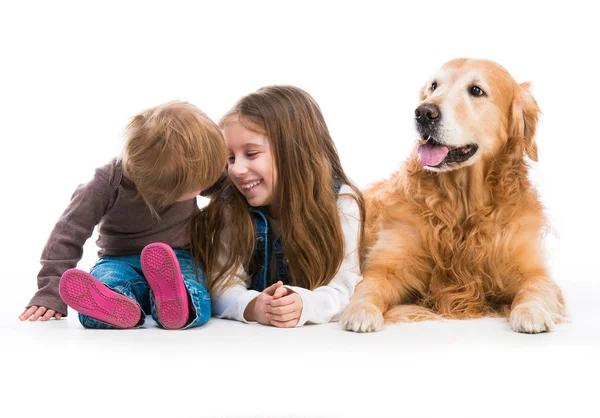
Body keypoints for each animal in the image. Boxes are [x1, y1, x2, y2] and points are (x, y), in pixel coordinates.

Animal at [340, 58, 564, 334]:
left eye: (476, 90)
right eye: (433, 86)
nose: (423, 113)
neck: (461, 206)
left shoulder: (533, 270)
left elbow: (535, 288)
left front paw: (532, 312)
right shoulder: (387, 267)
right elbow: (368, 287)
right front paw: (361, 310)